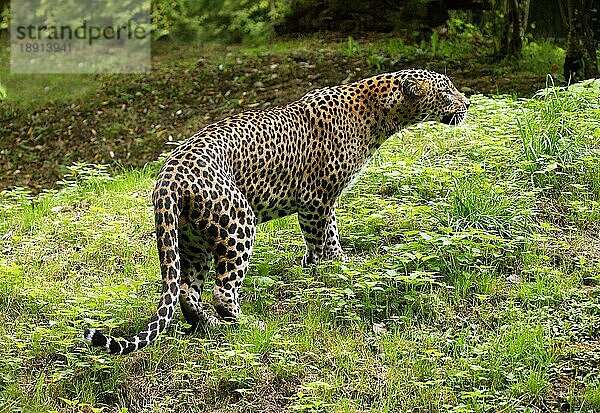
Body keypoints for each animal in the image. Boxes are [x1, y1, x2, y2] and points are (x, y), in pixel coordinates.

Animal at [83, 68, 468, 354]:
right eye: (446, 91)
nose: (466, 103)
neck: (378, 114)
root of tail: (167, 177)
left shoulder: (319, 203)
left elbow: (323, 239)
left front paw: (321, 268)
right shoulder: (316, 199)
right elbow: (324, 240)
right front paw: (334, 270)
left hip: (191, 240)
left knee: (187, 293)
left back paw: (208, 326)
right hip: (238, 223)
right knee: (223, 291)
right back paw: (246, 325)